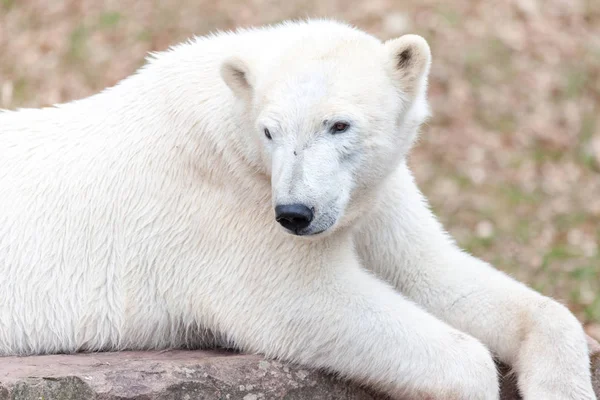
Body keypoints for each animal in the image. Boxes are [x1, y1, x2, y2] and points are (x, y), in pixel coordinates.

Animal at [0, 19, 592, 400]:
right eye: (270, 131)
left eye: (339, 124)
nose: (295, 213)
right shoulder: (225, 206)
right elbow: (303, 300)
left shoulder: (373, 194)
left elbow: (435, 275)